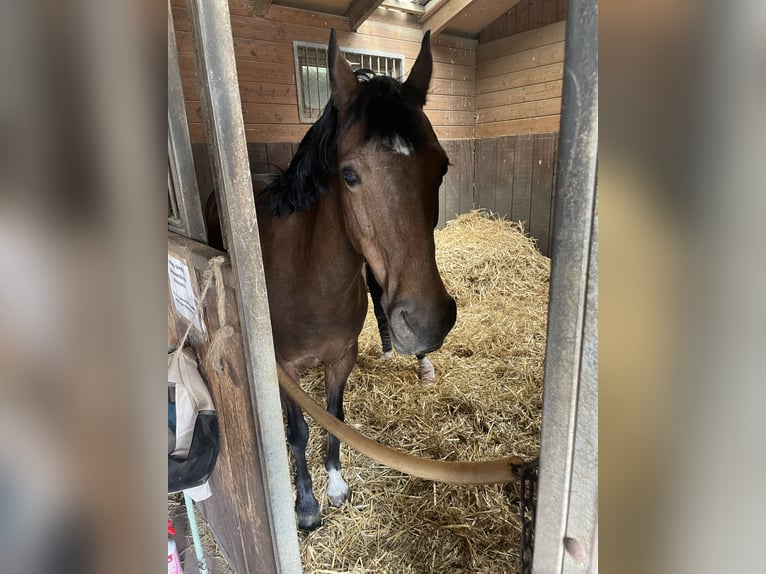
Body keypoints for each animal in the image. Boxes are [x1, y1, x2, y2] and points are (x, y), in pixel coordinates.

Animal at [206, 29, 456, 531]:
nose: (428, 322)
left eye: (441, 166)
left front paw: (336, 485)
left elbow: (334, 416)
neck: (309, 280)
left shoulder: (341, 357)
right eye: (349, 175)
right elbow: (299, 431)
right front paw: (305, 506)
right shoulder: (284, 370)